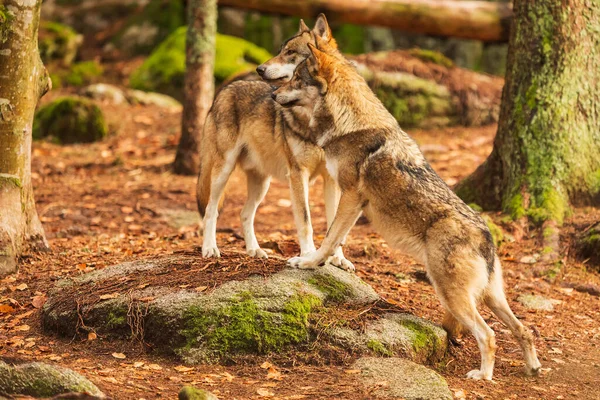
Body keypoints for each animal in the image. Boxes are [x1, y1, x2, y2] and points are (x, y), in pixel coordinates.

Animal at [197, 16, 356, 272]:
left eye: (290, 52)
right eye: (281, 50)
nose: (259, 68)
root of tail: (223, 90)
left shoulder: (331, 179)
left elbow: (335, 224)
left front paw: (338, 259)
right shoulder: (298, 175)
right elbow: (305, 220)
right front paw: (308, 255)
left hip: (262, 183)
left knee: (244, 214)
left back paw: (255, 251)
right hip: (223, 171)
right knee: (211, 210)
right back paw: (210, 248)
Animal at [272, 38, 544, 382]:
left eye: (296, 79)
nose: (272, 94)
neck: (349, 123)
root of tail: (486, 236)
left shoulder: (351, 195)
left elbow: (329, 237)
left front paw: (309, 262)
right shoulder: (349, 198)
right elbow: (336, 238)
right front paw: (331, 263)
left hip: (452, 294)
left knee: (489, 334)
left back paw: (483, 376)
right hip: (491, 296)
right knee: (524, 330)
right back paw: (532, 367)